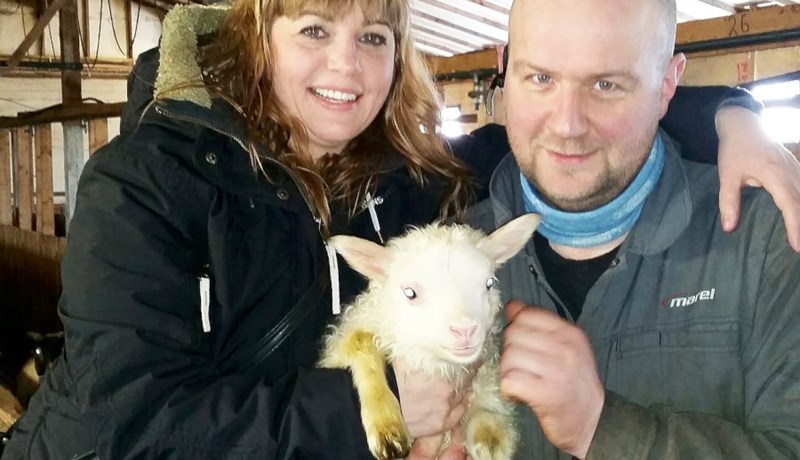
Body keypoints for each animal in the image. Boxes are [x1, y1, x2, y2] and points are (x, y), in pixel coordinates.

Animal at [319, 213, 541, 460]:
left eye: (489, 283)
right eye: (410, 293)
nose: (465, 331)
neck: (434, 363)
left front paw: (490, 435)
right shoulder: (345, 336)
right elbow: (360, 340)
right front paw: (386, 427)